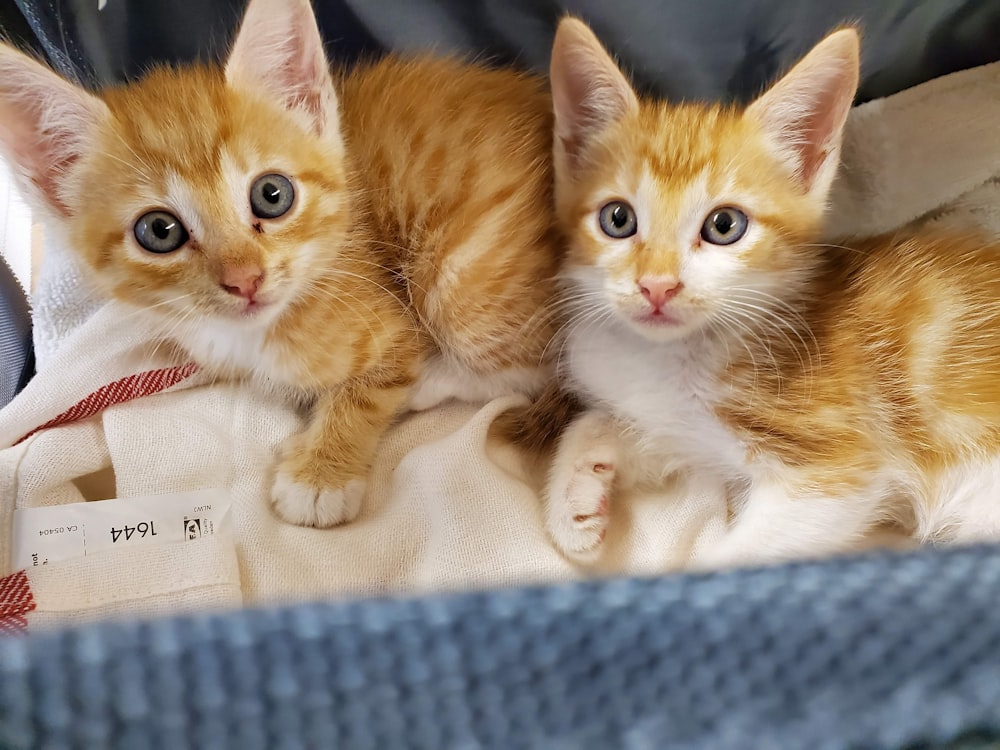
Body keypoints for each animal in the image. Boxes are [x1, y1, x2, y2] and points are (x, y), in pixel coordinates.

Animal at [0, 0, 564, 528]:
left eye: (272, 195)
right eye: (159, 232)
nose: (246, 280)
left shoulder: (389, 322)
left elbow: (375, 383)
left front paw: (321, 474)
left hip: (464, 286)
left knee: (540, 368)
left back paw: (432, 381)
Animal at [548, 17, 1000, 568]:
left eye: (724, 226)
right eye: (618, 219)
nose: (657, 285)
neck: (673, 357)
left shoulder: (837, 463)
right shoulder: (681, 427)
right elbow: (611, 425)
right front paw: (575, 492)